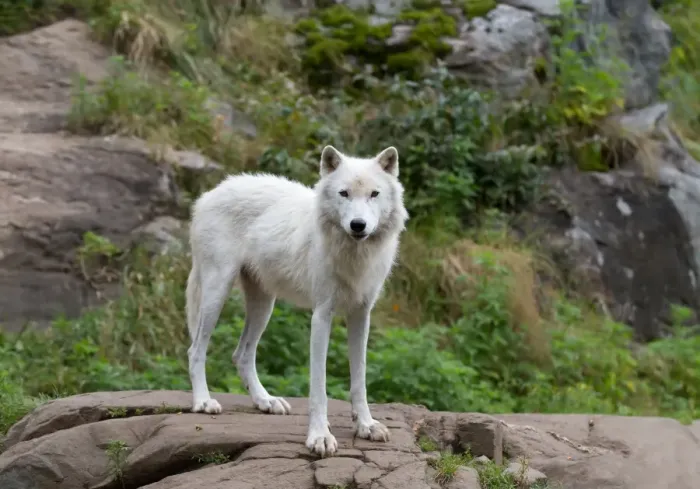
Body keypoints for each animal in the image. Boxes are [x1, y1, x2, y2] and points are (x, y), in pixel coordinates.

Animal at [185, 144, 409, 457]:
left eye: (374, 194)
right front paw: (320, 437)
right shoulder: (321, 315)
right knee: (196, 350)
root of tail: (210, 193)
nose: (358, 225)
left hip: (264, 305)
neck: (353, 256)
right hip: (216, 292)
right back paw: (204, 402)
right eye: (344, 193)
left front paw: (366, 425)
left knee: (241, 354)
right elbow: (319, 387)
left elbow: (359, 380)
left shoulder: (361, 315)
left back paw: (266, 401)